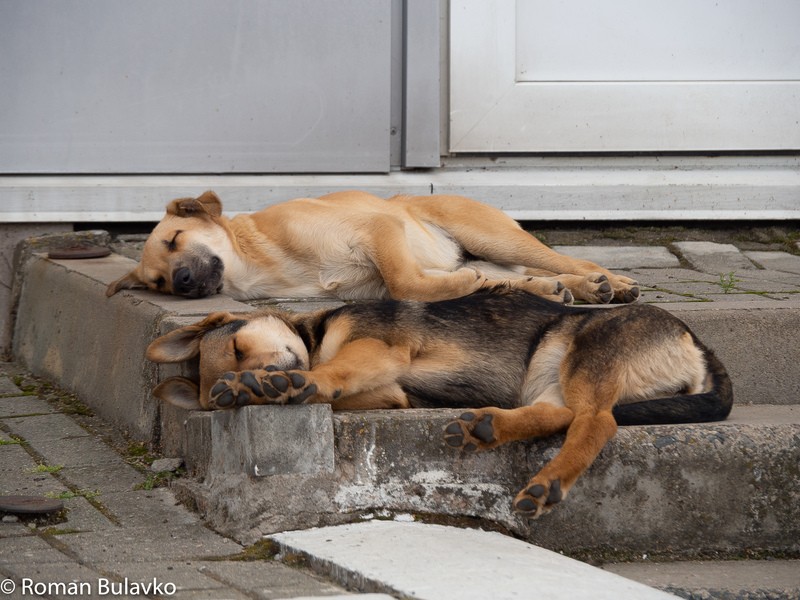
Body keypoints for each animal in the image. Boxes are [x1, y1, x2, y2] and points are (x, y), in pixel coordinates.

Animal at [145, 286, 732, 516]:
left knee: (597, 421)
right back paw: (485, 427)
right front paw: (258, 388)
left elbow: (329, 373)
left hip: (585, 350)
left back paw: (546, 483)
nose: (258, 373)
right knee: (562, 414)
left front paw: (275, 386)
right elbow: (339, 385)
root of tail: (697, 344)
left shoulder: (376, 350)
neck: (315, 335)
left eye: (240, 347)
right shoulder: (387, 388)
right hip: (548, 375)